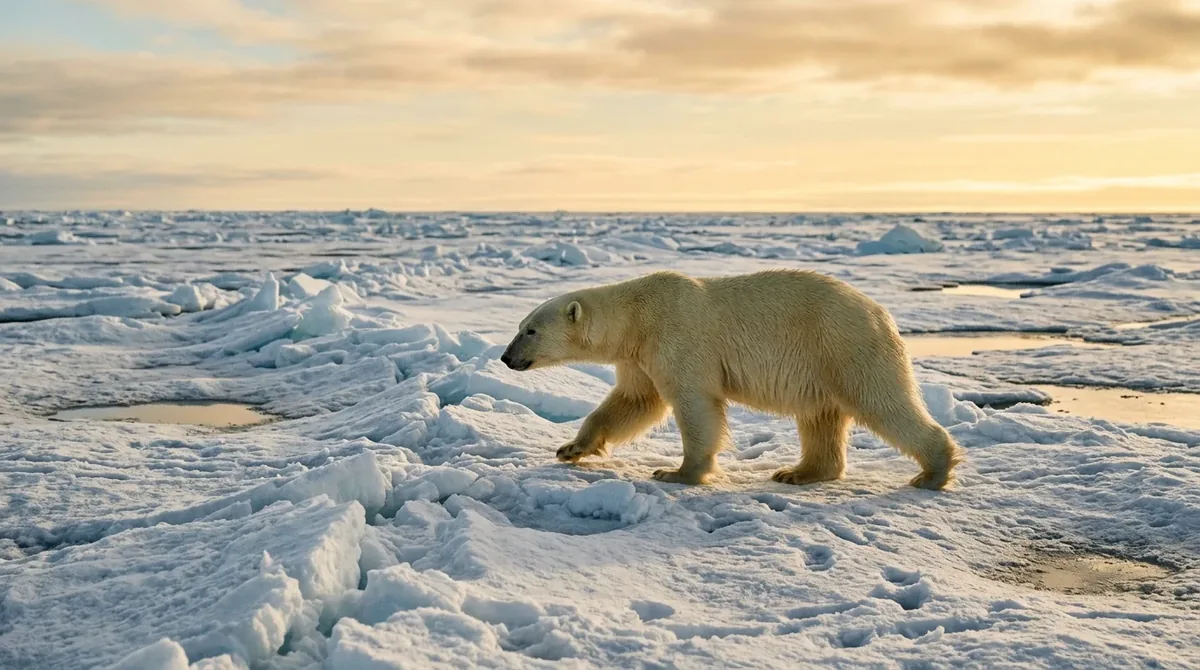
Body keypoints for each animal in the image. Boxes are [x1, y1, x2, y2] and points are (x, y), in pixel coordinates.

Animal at [500, 269, 963, 489]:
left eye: (530, 330)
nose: (506, 357)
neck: (636, 314)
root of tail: (882, 314)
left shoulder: (677, 336)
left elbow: (693, 403)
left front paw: (677, 473)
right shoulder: (640, 355)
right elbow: (633, 401)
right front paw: (571, 448)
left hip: (843, 345)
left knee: (881, 402)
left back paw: (933, 471)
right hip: (824, 361)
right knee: (820, 416)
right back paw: (797, 472)